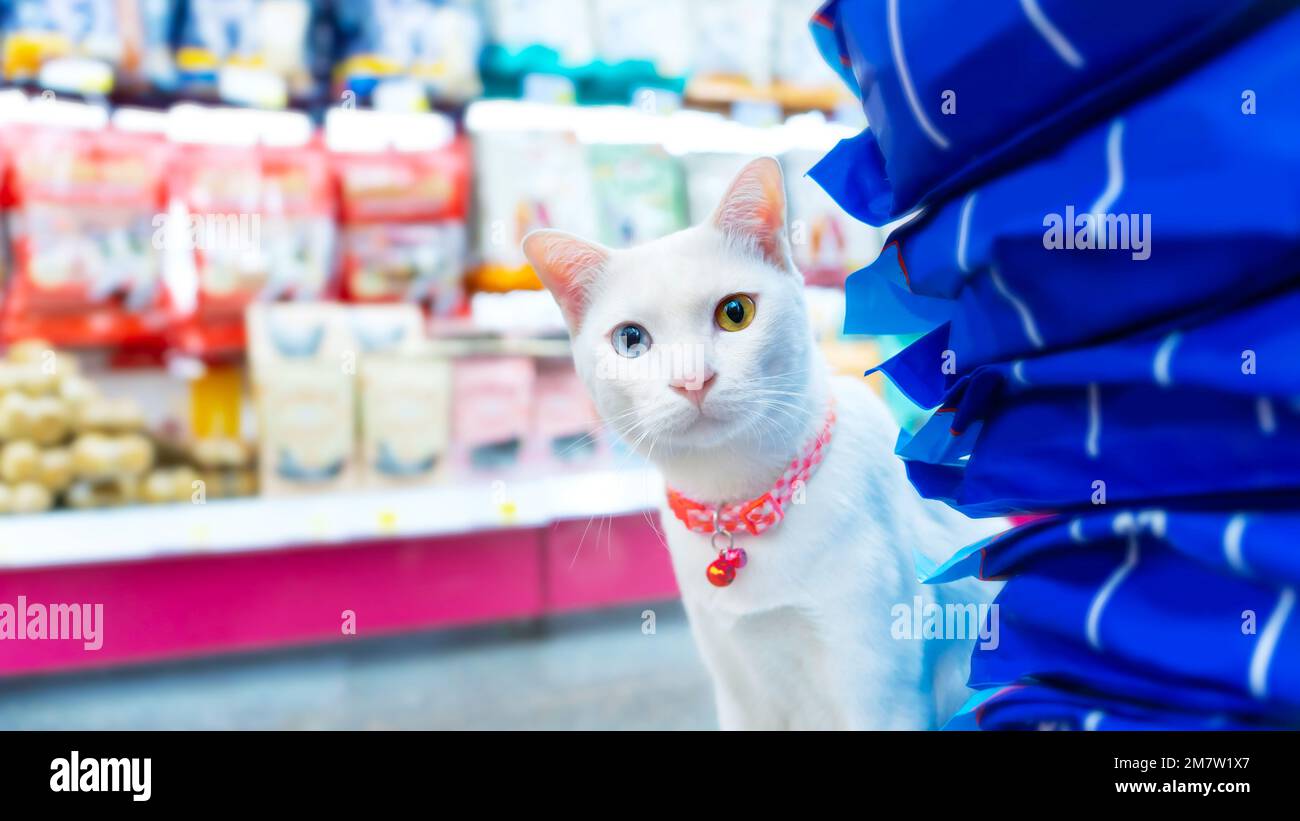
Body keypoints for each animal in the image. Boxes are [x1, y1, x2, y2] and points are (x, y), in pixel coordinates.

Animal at [522, 157, 998, 727]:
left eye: (735, 313)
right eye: (630, 340)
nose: (692, 379)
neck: (738, 504)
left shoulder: (881, 692)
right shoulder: (740, 692)